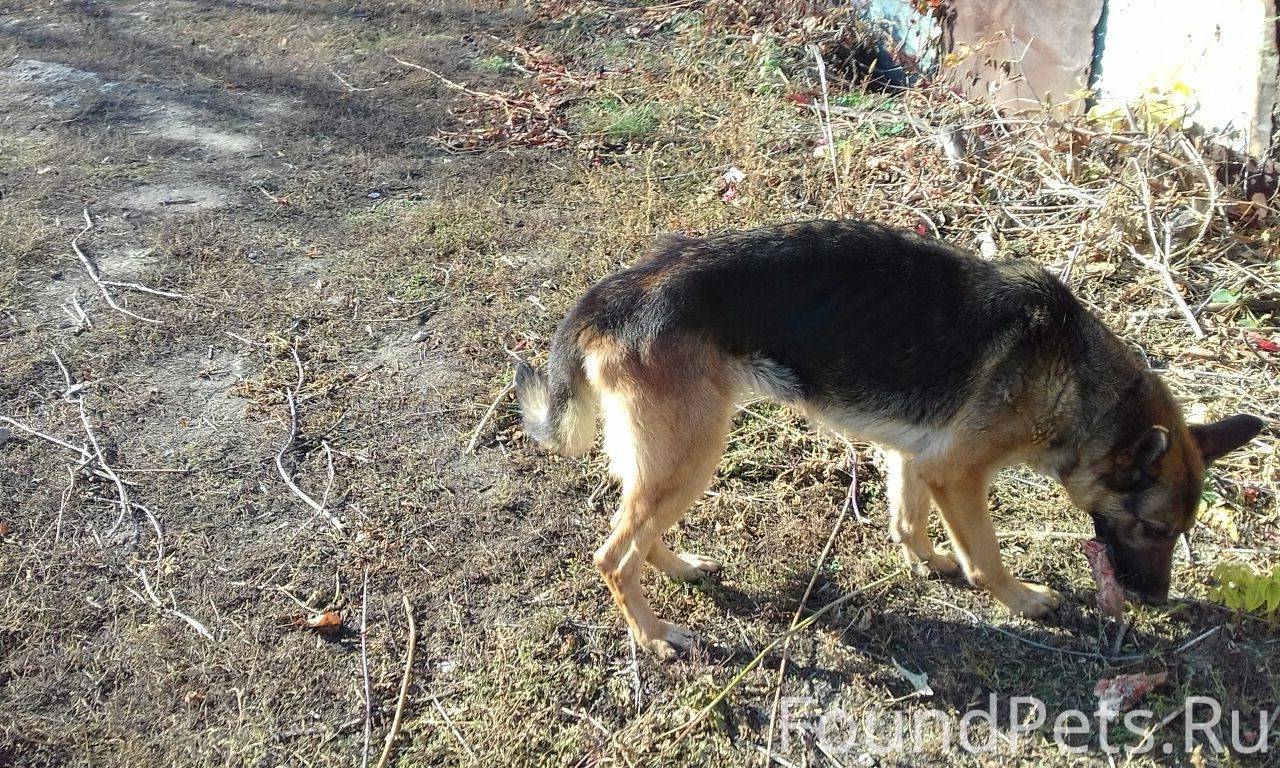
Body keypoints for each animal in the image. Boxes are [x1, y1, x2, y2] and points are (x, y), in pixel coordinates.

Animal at [514, 218, 1264, 655]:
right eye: (1153, 529)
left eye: (1178, 532)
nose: (1155, 600)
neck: (1073, 374)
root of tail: (613, 295)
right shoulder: (960, 475)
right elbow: (985, 555)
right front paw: (1021, 599)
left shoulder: (915, 457)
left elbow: (908, 519)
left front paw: (927, 561)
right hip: (694, 454)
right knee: (612, 555)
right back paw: (653, 635)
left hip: (671, 458)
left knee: (638, 528)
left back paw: (679, 568)